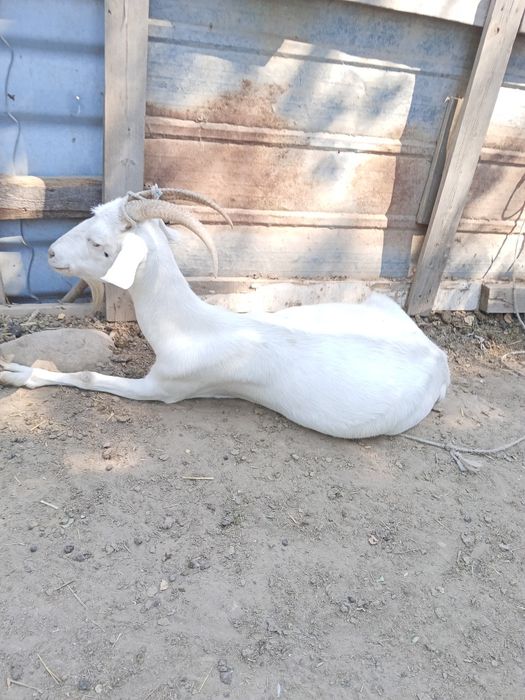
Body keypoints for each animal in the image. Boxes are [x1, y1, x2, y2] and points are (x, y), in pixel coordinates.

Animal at [0, 189, 450, 439]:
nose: (51, 252)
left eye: (99, 244)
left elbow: (88, 376)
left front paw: (17, 374)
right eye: (93, 215)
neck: (191, 327)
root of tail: (438, 356)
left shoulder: (164, 388)